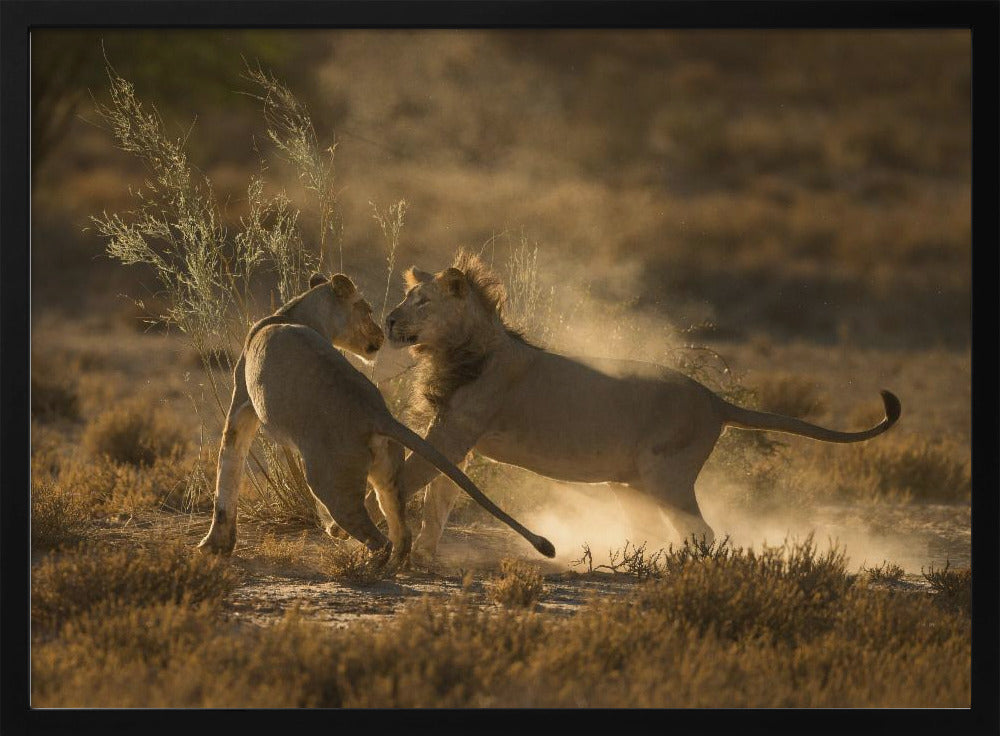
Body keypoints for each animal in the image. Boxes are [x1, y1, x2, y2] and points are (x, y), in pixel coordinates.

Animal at [197, 272, 555, 566]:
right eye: (368, 310)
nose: (382, 335)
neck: (295, 314)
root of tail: (377, 413)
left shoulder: (242, 405)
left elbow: (228, 469)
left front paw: (214, 545)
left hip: (329, 480)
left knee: (375, 536)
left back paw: (365, 566)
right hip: (388, 475)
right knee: (400, 530)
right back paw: (395, 565)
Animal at [385, 252, 902, 563]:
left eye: (422, 301)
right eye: (407, 298)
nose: (388, 320)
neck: (457, 351)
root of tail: (713, 399)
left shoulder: (455, 431)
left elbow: (411, 477)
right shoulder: (456, 441)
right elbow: (438, 499)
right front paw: (424, 557)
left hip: (665, 475)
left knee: (702, 531)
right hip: (630, 483)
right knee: (657, 529)